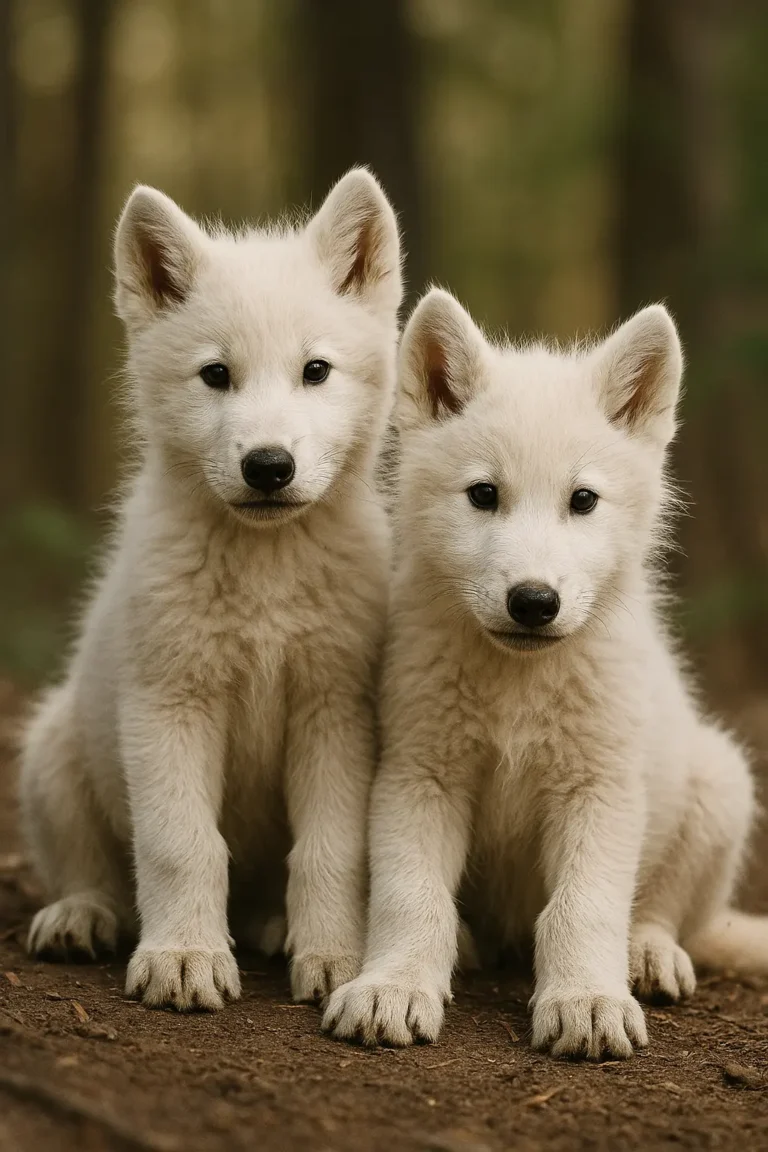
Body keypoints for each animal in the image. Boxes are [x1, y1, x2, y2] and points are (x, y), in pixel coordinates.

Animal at [19, 169, 402, 1010]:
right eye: (216, 375)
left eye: (315, 371)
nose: (268, 466)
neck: (264, 576)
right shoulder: (169, 702)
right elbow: (180, 842)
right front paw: (185, 957)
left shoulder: (333, 709)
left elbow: (331, 848)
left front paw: (334, 956)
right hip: (53, 751)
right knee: (93, 870)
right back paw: (81, 916)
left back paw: (273, 926)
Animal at [323, 289, 766, 1058]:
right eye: (483, 494)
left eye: (582, 500)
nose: (533, 602)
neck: (517, 686)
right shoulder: (421, 774)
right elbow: (411, 895)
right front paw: (394, 987)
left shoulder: (599, 787)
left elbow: (583, 907)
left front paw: (587, 1001)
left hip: (720, 783)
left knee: (665, 911)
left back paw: (648, 956)